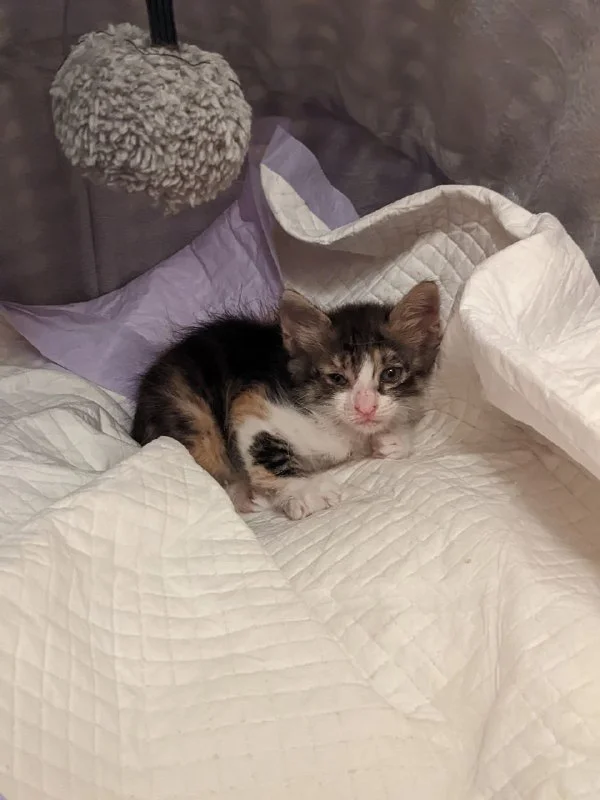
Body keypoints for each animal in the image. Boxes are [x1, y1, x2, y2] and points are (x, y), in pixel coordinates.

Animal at [131, 280, 441, 519]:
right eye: (337, 378)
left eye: (390, 373)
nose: (365, 407)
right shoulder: (254, 401)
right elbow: (265, 450)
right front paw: (306, 490)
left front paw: (394, 439)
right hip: (188, 410)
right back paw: (243, 494)